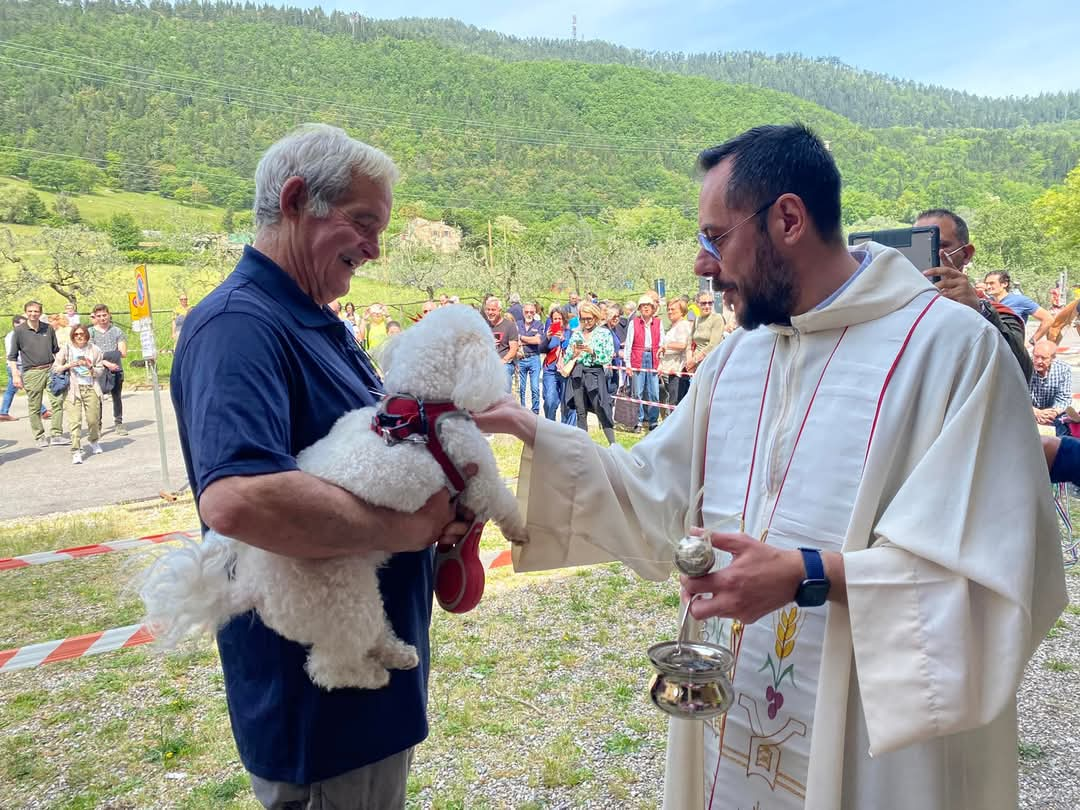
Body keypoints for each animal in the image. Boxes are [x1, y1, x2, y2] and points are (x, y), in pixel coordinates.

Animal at [139, 304, 527, 691]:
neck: (421, 408)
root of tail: (251, 588)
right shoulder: (476, 473)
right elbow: (502, 500)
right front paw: (521, 531)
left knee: (371, 635)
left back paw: (398, 653)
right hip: (343, 602)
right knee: (329, 667)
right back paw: (372, 674)